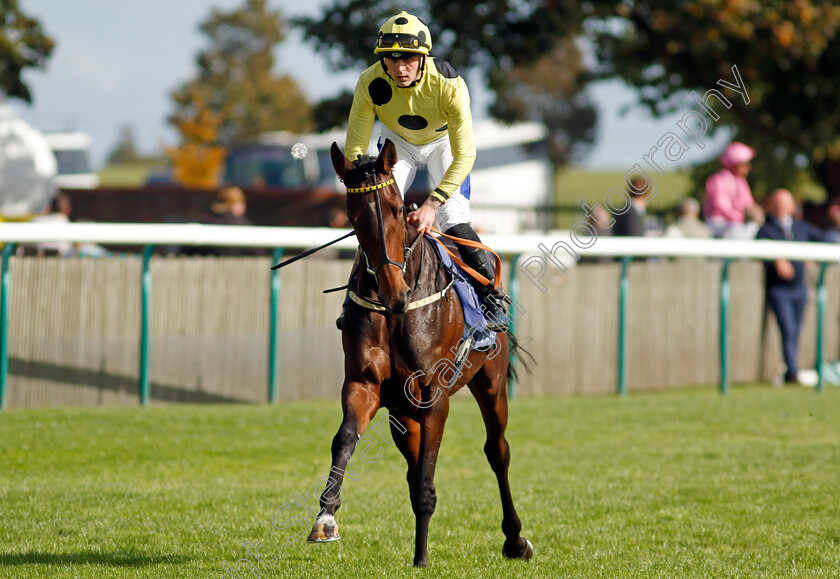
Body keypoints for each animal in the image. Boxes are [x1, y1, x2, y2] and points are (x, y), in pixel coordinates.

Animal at [306, 139, 532, 568]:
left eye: (398, 208)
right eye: (352, 213)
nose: (393, 293)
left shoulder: (433, 396)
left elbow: (428, 478)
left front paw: (422, 558)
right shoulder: (364, 385)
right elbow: (344, 441)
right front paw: (325, 518)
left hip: (490, 384)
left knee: (498, 452)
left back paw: (515, 539)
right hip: (401, 412)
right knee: (414, 466)